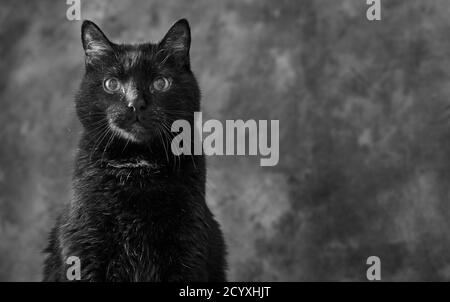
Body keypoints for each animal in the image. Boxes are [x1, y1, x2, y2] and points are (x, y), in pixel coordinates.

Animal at [43, 20, 227, 282]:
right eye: (111, 84)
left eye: (160, 83)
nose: (135, 104)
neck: (137, 166)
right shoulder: (85, 247)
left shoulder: (188, 245)